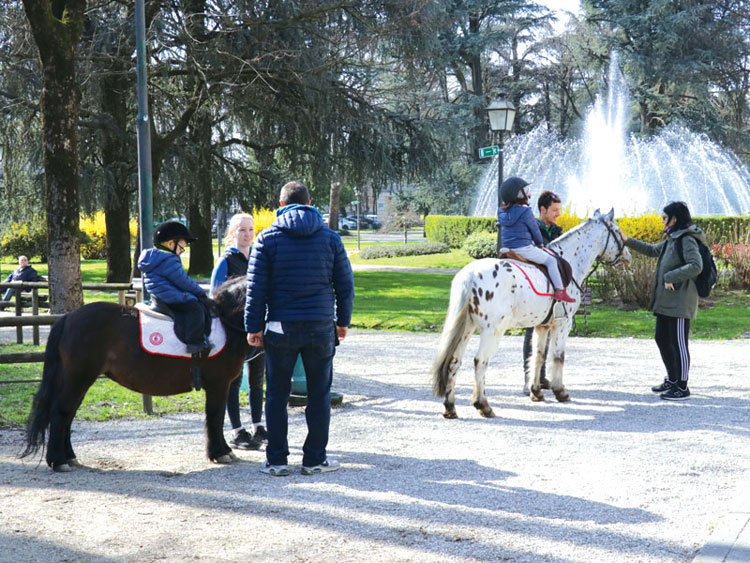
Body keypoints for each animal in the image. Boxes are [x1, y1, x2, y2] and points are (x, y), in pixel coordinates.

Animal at [19, 278, 250, 472]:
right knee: (61, 412)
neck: (227, 323)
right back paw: (58, 460)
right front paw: (220, 452)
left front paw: (223, 450)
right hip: (79, 378)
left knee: (68, 414)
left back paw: (69, 457)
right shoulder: (219, 384)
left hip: (77, 379)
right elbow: (216, 416)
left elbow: (217, 416)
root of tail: (68, 318)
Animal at [432, 209, 632, 416]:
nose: (628, 257)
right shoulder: (563, 323)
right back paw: (483, 405)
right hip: (492, 331)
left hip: (466, 329)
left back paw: (450, 407)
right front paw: (560, 391)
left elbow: (538, 356)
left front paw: (536, 392)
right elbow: (558, 356)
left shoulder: (542, 326)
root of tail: (470, 275)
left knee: (454, 362)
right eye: (618, 232)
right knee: (480, 362)